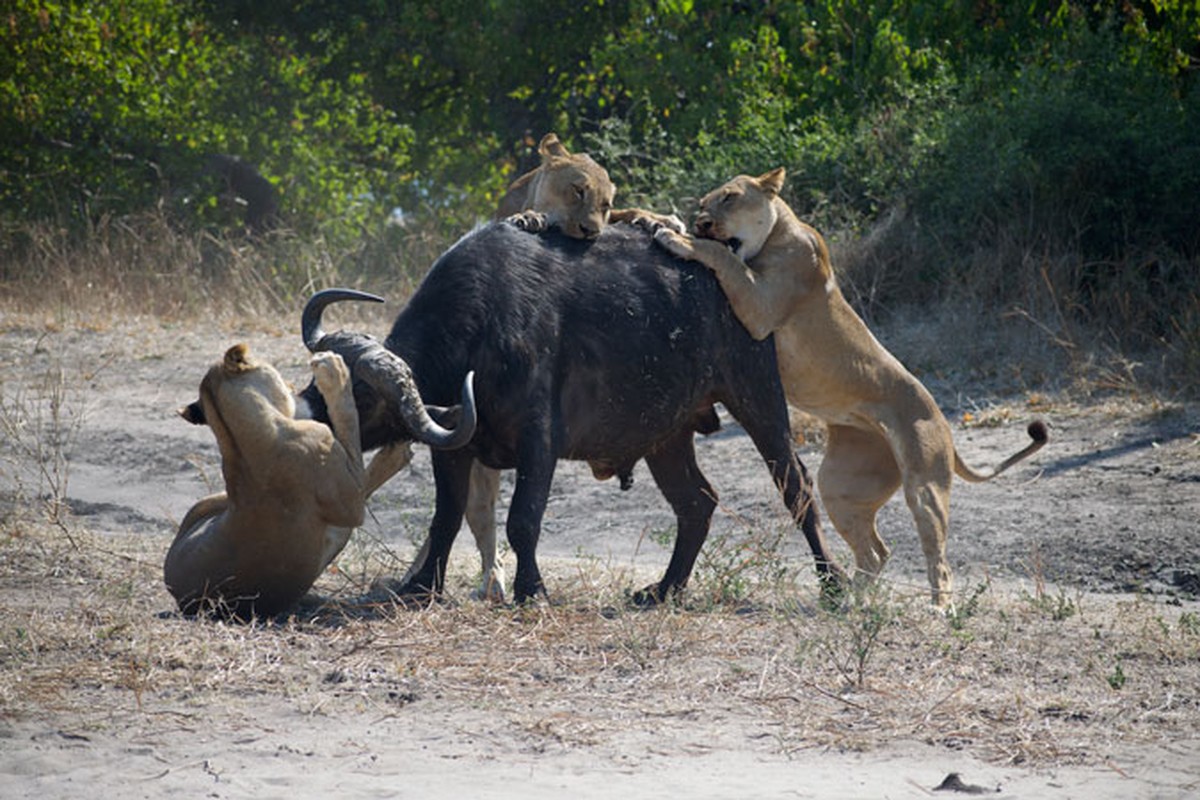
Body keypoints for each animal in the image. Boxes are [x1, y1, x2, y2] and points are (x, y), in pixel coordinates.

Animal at [300, 221, 844, 604]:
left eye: (360, 394)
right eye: (314, 379)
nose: (306, 416)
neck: (483, 331)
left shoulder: (539, 440)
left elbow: (523, 519)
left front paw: (532, 591)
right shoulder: (453, 447)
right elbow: (446, 517)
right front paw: (421, 586)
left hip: (758, 396)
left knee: (796, 488)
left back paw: (833, 586)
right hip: (666, 434)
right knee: (697, 503)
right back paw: (663, 590)